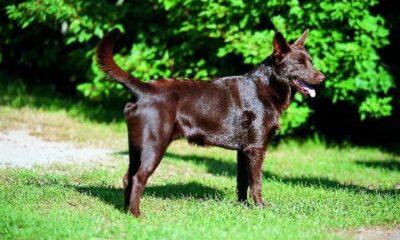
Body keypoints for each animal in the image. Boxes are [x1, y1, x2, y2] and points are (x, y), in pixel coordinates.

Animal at [97, 29, 324, 217]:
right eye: (299, 63)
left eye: (311, 61)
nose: (322, 78)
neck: (266, 88)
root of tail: (144, 88)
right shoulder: (256, 148)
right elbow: (256, 183)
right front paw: (261, 208)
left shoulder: (243, 151)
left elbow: (243, 182)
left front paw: (243, 207)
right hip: (154, 146)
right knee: (138, 179)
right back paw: (137, 215)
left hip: (136, 148)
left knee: (127, 177)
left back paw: (126, 211)